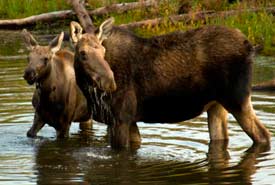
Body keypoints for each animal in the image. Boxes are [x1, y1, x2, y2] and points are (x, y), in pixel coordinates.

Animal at [69, 17, 272, 149]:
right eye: (83, 53)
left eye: (103, 51)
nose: (110, 82)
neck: (88, 90)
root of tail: (250, 46)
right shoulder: (129, 120)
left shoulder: (121, 118)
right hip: (217, 105)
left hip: (237, 99)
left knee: (263, 135)